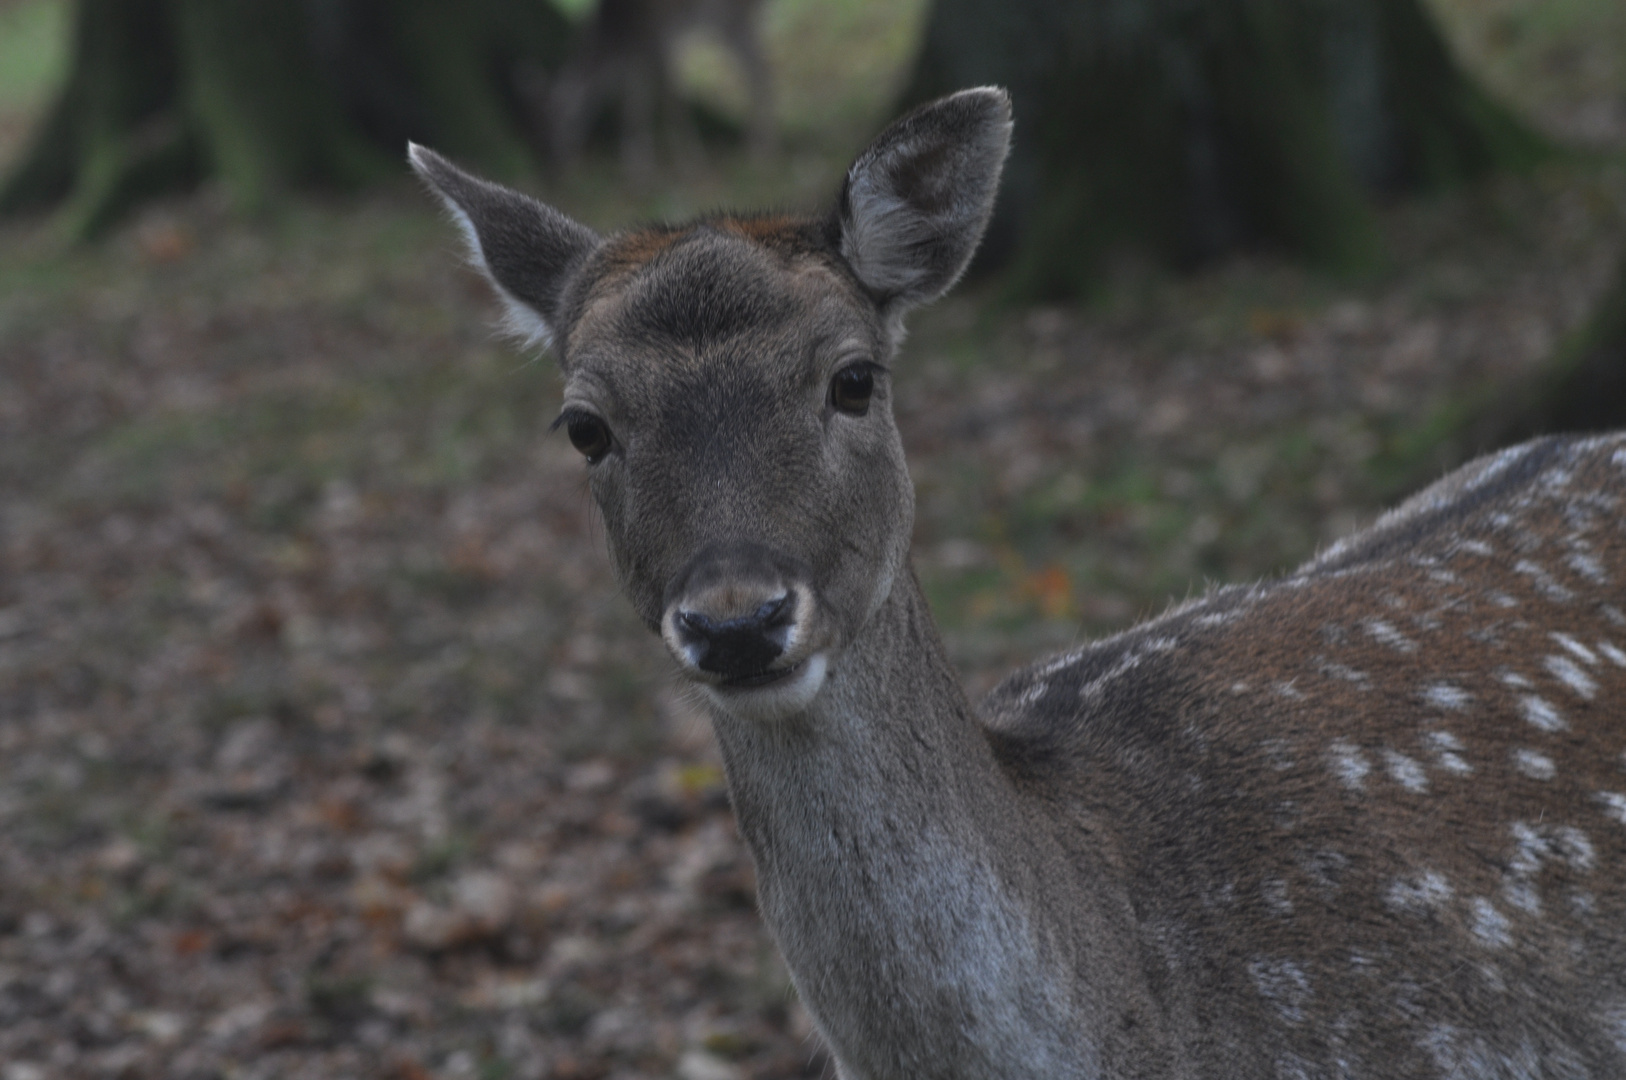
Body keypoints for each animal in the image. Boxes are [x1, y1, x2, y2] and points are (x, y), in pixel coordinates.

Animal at [539, 0, 773, 174]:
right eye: (543, 120)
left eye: (563, 119)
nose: (554, 161)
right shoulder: (639, 59)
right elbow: (634, 107)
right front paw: (636, 165)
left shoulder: (661, 43)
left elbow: (671, 103)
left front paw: (691, 160)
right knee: (762, 69)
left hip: (729, 18)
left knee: (761, 71)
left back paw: (760, 151)